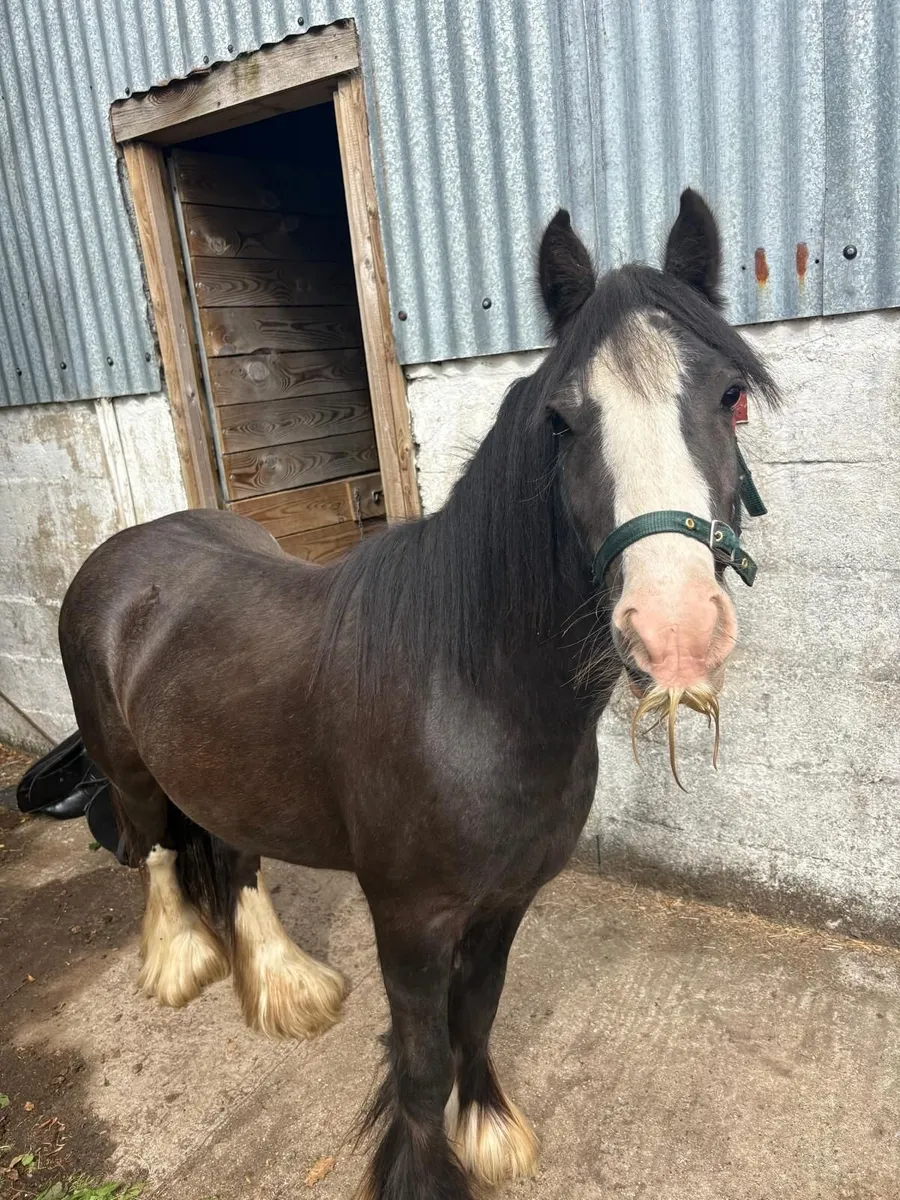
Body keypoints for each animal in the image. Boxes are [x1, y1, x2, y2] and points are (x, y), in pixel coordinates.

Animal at [58, 188, 778, 1200]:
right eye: (561, 421)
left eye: (731, 395)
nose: (674, 631)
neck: (474, 695)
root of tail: (125, 552)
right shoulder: (408, 917)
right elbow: (423, 1057)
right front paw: (428, 1171)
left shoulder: (507, 901)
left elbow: (477, 1015)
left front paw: (489, 1132)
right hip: (125, 767)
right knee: (157, 853)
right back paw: (180, 964)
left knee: (233, 860)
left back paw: (287, 989)